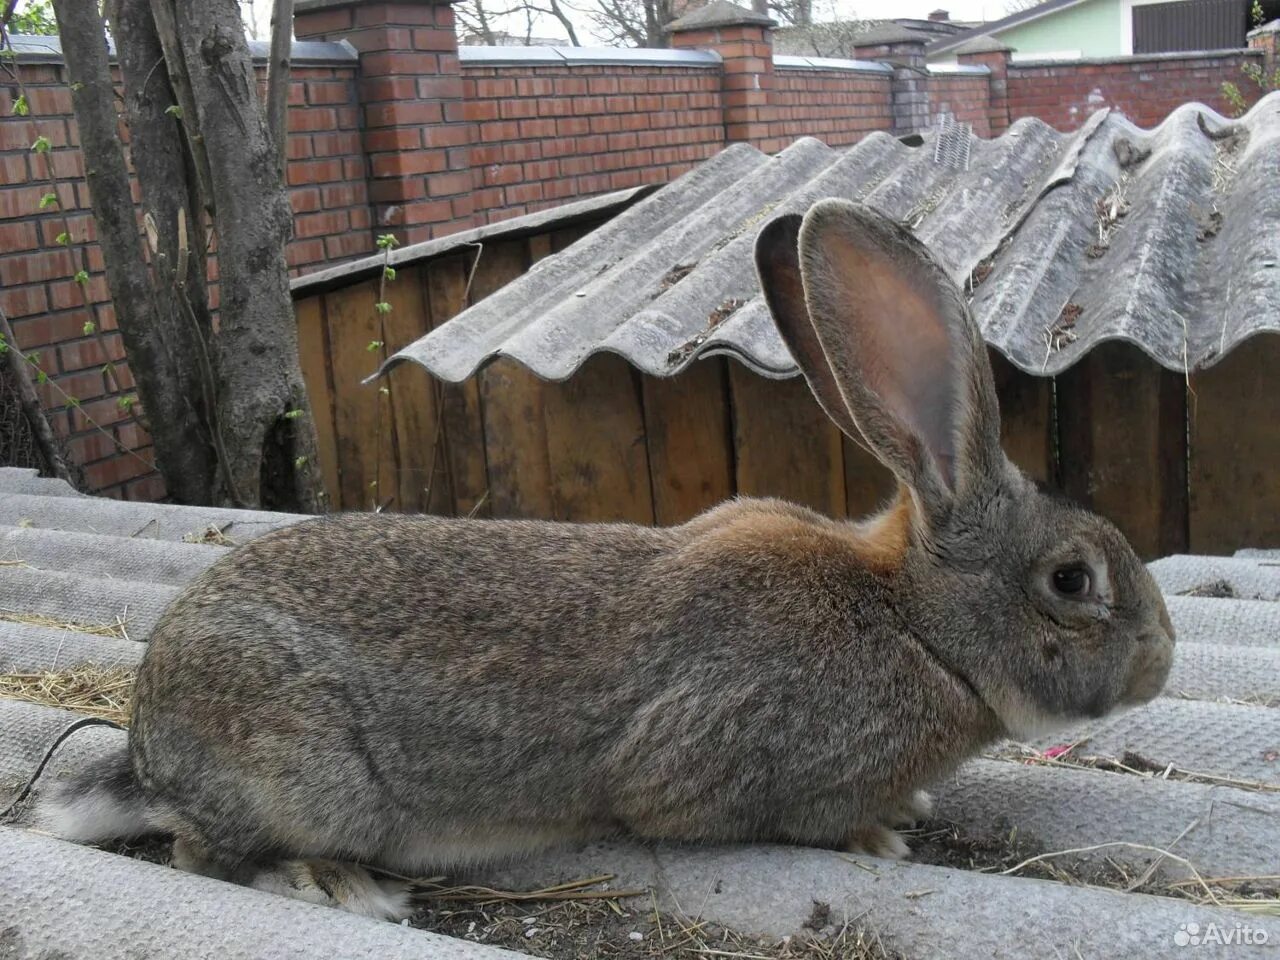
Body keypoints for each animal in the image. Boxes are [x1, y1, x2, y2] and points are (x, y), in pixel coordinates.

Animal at [35, 199, 1172, 921]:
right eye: (1071, 581)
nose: (1161, 662)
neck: (915, 623)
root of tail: (149, 747)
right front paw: (880, 836)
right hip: (307, 779)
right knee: (204, 854)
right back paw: (342, 888)